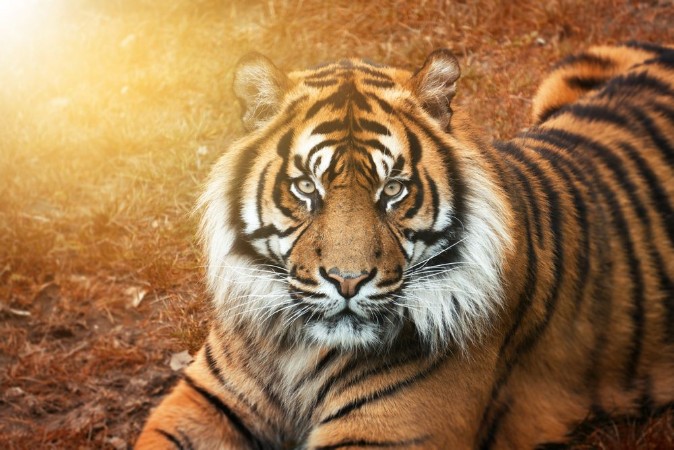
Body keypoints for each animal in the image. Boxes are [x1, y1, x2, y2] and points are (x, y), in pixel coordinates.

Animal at [136, 41, 674, 449]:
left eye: (392, 189)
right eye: (307, 187)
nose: (347, 282)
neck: (296, 349)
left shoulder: (387, 433)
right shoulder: (202, 399)